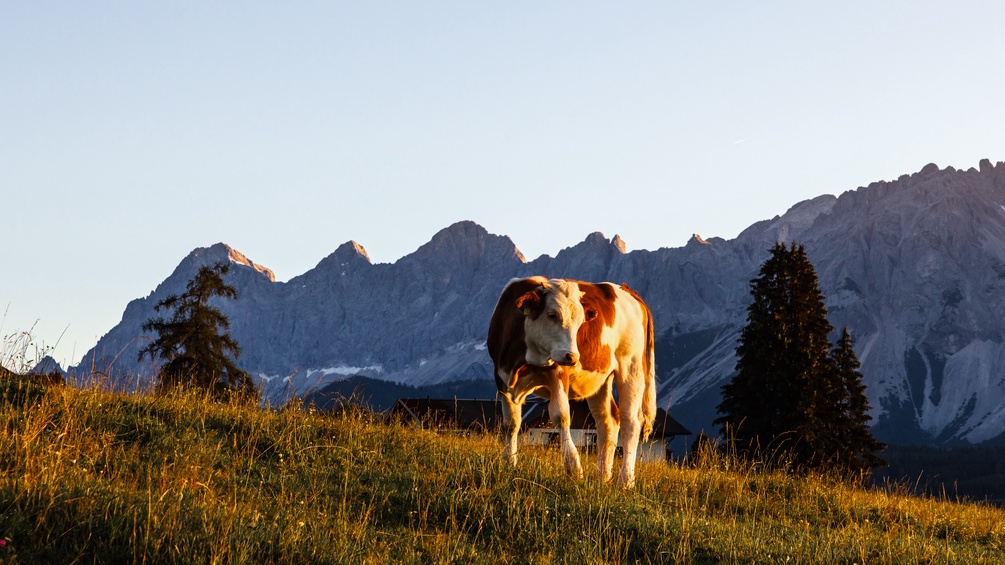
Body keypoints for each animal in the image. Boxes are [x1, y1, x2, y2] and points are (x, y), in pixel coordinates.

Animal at [486, 276, 657, 487]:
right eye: (551, 315)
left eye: (580, 322)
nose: (573, 356)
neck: (523, 360)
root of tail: (628, 291)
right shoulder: (502, 376)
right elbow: (511, 423)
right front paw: (509, 462)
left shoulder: (559, 372)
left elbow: (561, 415)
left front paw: (573, 466)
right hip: (601, 379)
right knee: (608, 420)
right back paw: (601, 477)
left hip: (631, 366)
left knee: (631, 420)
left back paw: (625, 480)